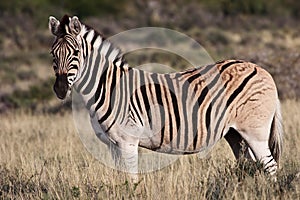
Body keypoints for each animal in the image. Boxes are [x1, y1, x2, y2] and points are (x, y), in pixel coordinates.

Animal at [48, 14, 282, 178]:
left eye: (76, 53)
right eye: (53, 54)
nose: (60, 89)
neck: (108, 88)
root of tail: (262, 69)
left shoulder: (128, 141)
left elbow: (131, 179)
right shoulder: (112, 145)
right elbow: (120, 177)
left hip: (255, 131)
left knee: (270, 166)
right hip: (235, 133)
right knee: (251, 165)